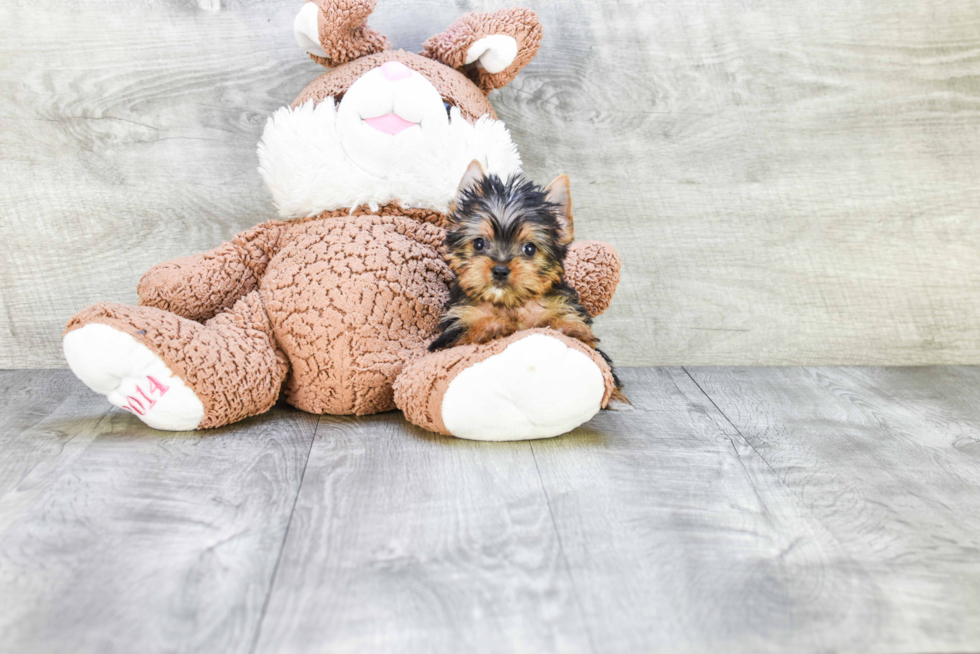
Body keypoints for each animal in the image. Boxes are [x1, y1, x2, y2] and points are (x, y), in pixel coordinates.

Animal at [428, 161, 628, 408]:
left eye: (529, 248)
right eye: (479, 244)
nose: (500, 269)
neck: (511, 303)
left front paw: (570, 327)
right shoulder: (452, 330)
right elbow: (466, 332)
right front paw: (491, 327)